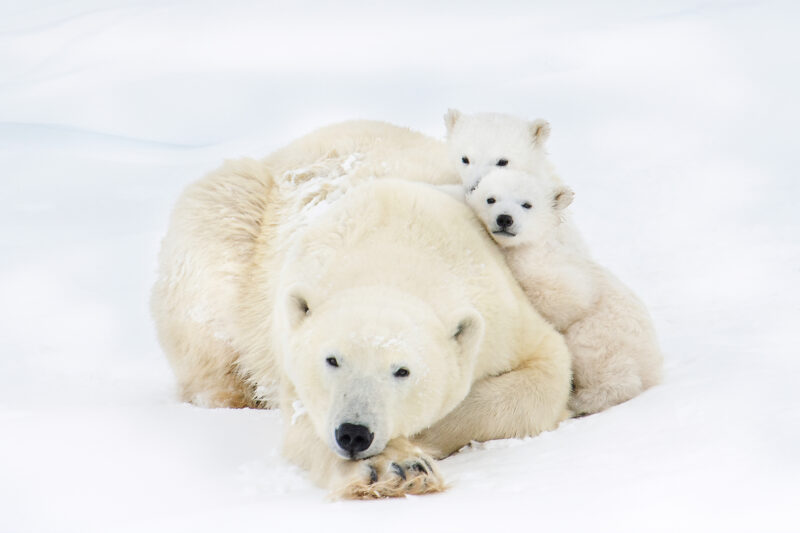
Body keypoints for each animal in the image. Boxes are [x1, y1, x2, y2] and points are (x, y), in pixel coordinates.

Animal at [150, 118, 572, 496]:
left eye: (402, 370)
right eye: (332, 360)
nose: (353, 433)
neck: (395, 247)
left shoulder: (501, 310)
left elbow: (546, 372)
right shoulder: (292, 334)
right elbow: (302, 422)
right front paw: (395, 468)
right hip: (231, 231)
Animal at [466, 168, 660, 414]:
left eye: (527, 204)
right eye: (490, 199)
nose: (504, 219)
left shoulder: (558, 270)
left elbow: (568, 299)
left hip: (607, 336)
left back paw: (582, 400)